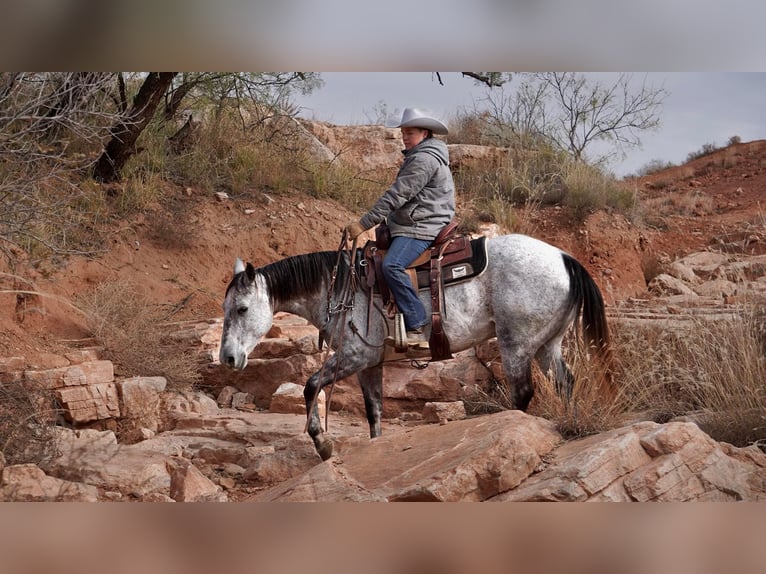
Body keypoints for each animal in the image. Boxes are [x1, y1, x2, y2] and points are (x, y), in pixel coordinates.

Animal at [219, 232, 616, 462]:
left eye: (242, 309)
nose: (227, 358)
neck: (341, 286)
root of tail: (565, 259)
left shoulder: (354, 356)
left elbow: (310, 385)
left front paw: (323, 444)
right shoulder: (369, 363)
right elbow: (374, 411)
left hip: (515, 344)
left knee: (522, 393)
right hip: (547, 345)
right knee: (566, 382)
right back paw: (569, 424)